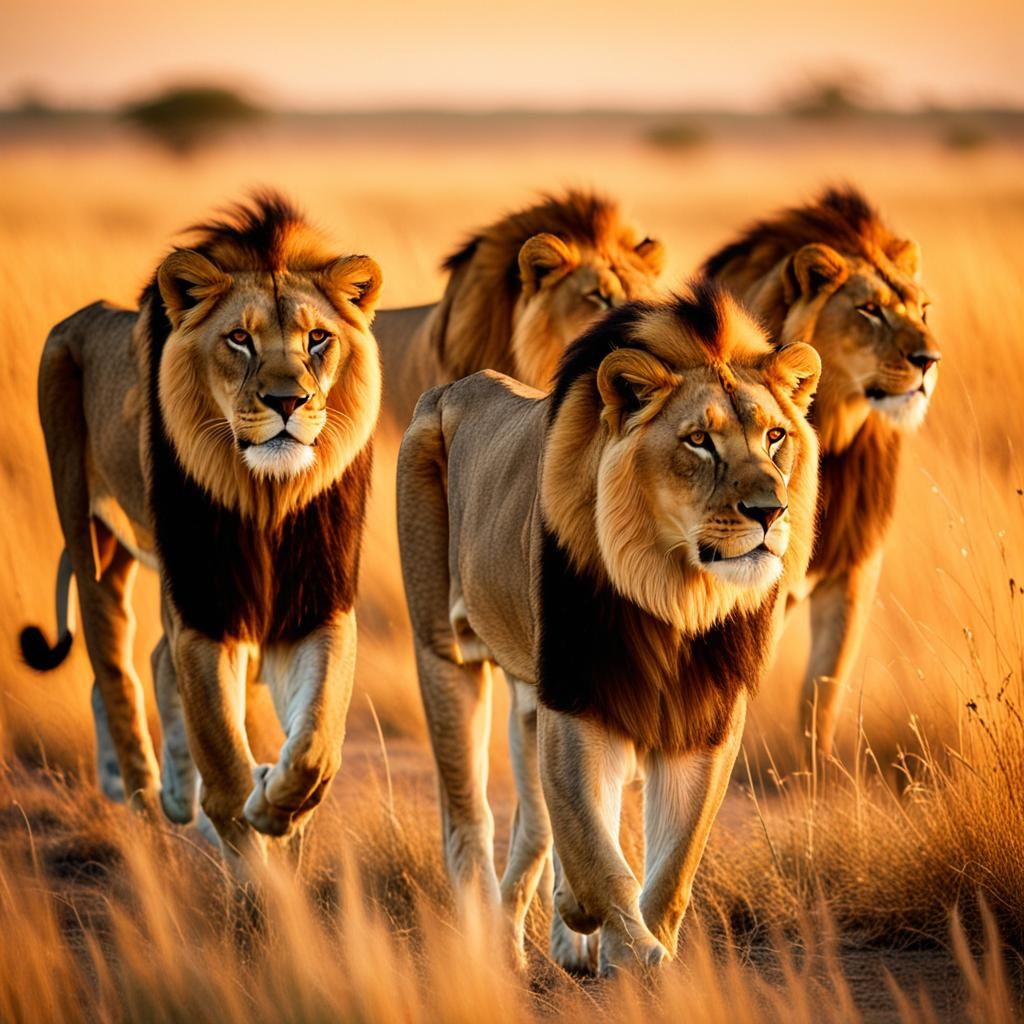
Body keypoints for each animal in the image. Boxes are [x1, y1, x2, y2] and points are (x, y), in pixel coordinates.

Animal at [20, 193, 382, 866]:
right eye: (239, 339)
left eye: (318, 338)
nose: (287, 402)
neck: (268, 494)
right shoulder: (205, 601)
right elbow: (222, 752)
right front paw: (250, 854)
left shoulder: (315, 599)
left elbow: (316, 739)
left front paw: (279, 807)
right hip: (88, 532)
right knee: (114, 665)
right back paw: (144, 796)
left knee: (154, 660)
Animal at [396, 282, 820, 973]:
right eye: (699, 440)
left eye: (776, 436)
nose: (770, 510)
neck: (676, 595)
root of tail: (455, 387)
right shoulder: (578, 701)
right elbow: (600, 856)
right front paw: (634, 954)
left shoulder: (705, 719)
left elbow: (670, 868)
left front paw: (640, 950)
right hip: (444, 648)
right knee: (469, 820)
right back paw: (489, 943)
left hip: (529, 696)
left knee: (534, 825)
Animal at [702, 186, 941, 756]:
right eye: (870, 310)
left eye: (923, 309)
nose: (930, 360)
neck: (838, 437)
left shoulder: (855, 567)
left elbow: (821, 691)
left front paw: (816, 772)